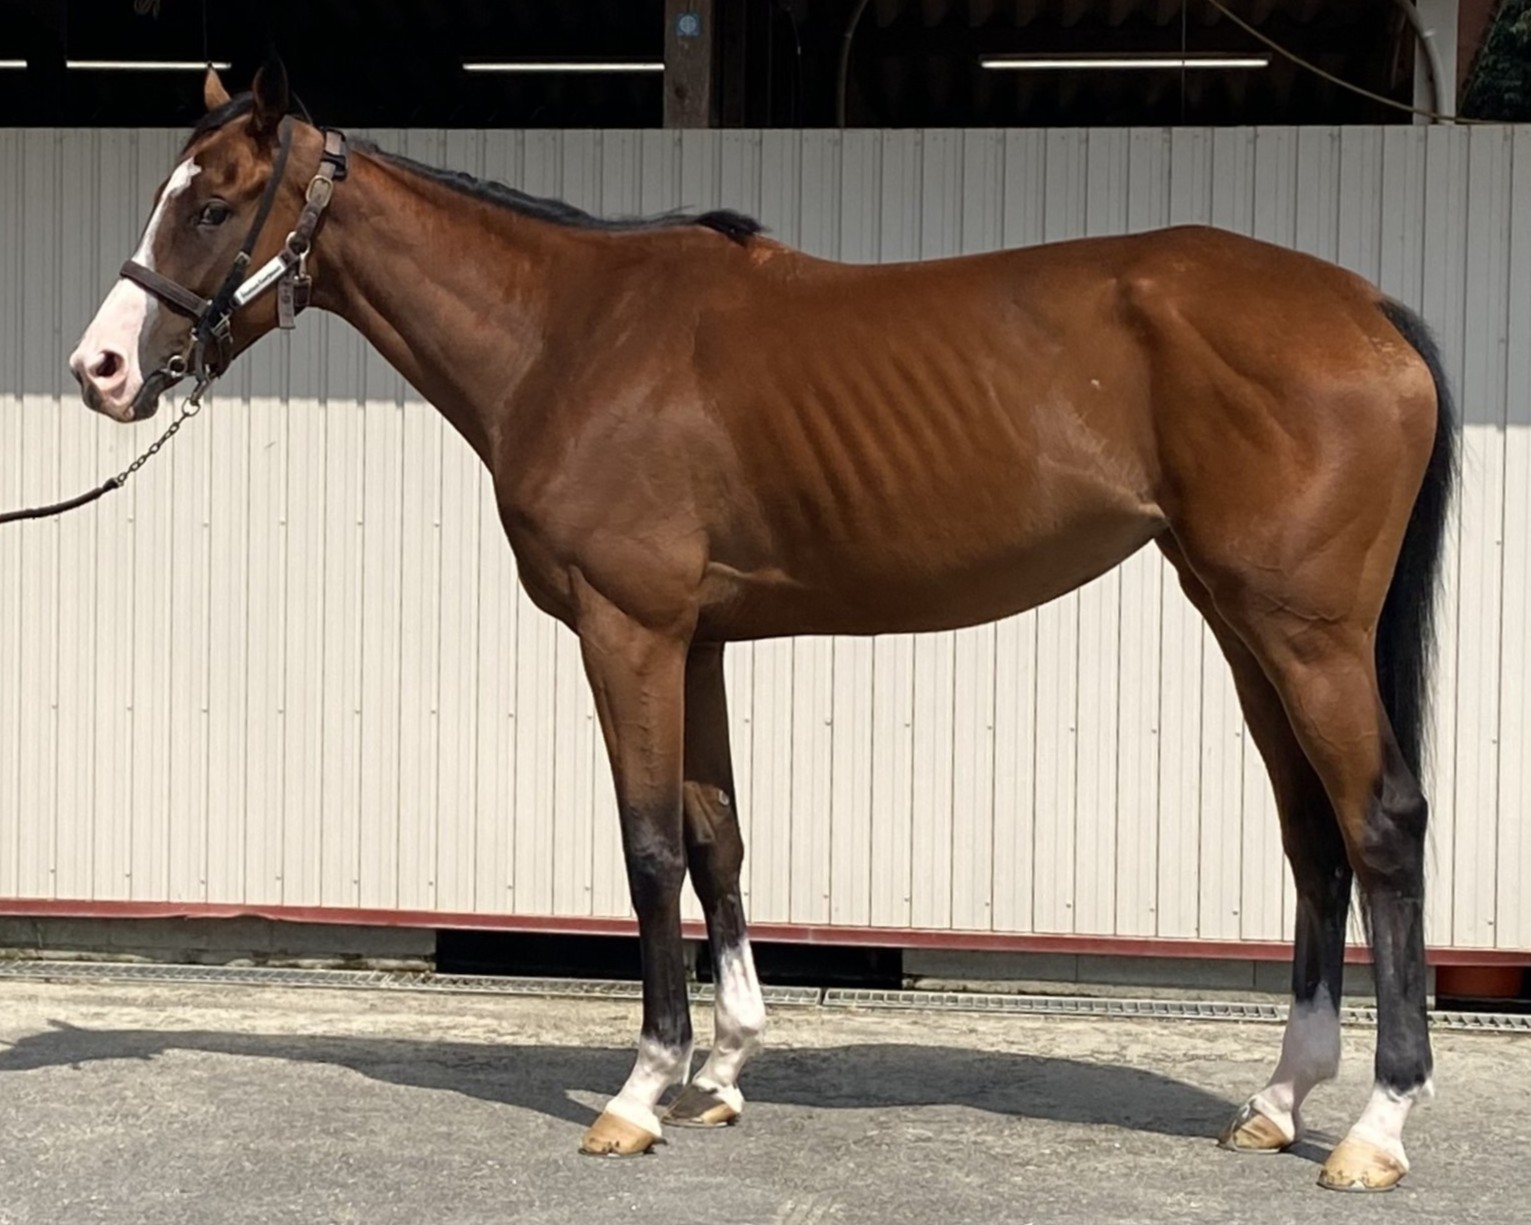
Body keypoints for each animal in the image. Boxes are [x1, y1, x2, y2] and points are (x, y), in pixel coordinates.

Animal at [67, 61, 1455, 1193]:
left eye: (210, 205)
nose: (102, 371)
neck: (571, 335)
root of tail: (1367, 306)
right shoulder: (699, 641)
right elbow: (716, 834)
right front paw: (724, 1070)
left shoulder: (625, 630)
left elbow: (646, 848)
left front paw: (639, 1092)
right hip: (1241, 620)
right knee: (1312, 837)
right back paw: (1276, 1101)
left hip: (1307, 633)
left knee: (1380, 825)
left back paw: (1377, 1126)